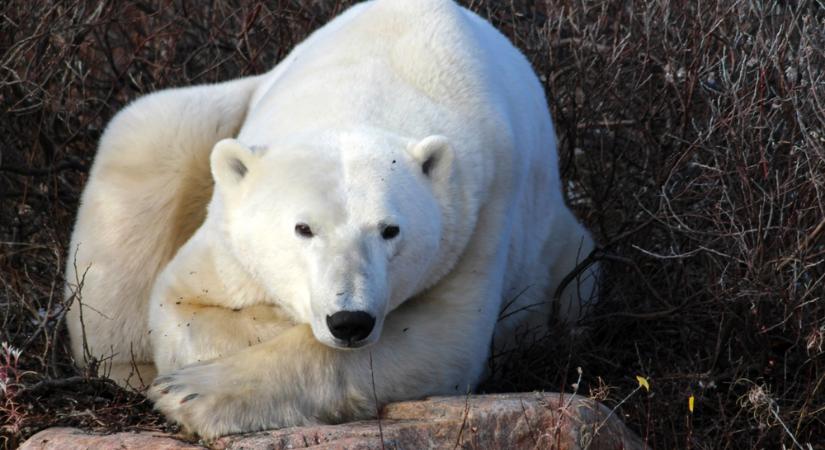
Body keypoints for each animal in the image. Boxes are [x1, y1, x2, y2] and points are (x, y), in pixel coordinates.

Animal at [61, 0, 596, 440]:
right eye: (303, 228)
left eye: (390, 230)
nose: (349, 321)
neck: (366, 91)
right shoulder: (227, 233)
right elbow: (182, 303)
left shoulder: (477, 217)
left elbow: (441, 337)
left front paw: (192, 391)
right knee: (145, 144)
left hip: (563, 258)